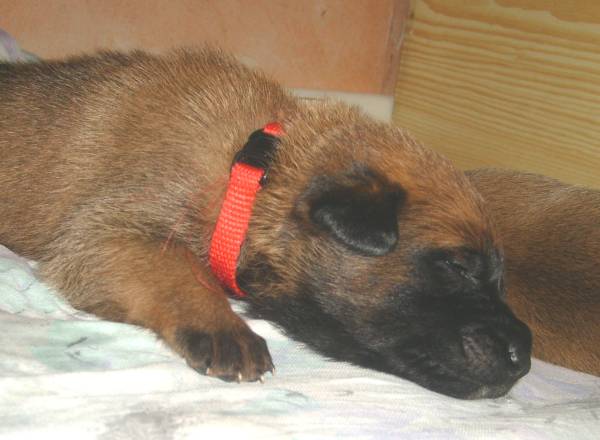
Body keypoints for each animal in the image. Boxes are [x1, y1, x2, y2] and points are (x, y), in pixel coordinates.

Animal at [0, 48, 532, 399]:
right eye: (458, 267)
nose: (524, 359)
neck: (254, 172)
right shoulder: (107, 233)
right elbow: (179, 270)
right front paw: (223, 326)